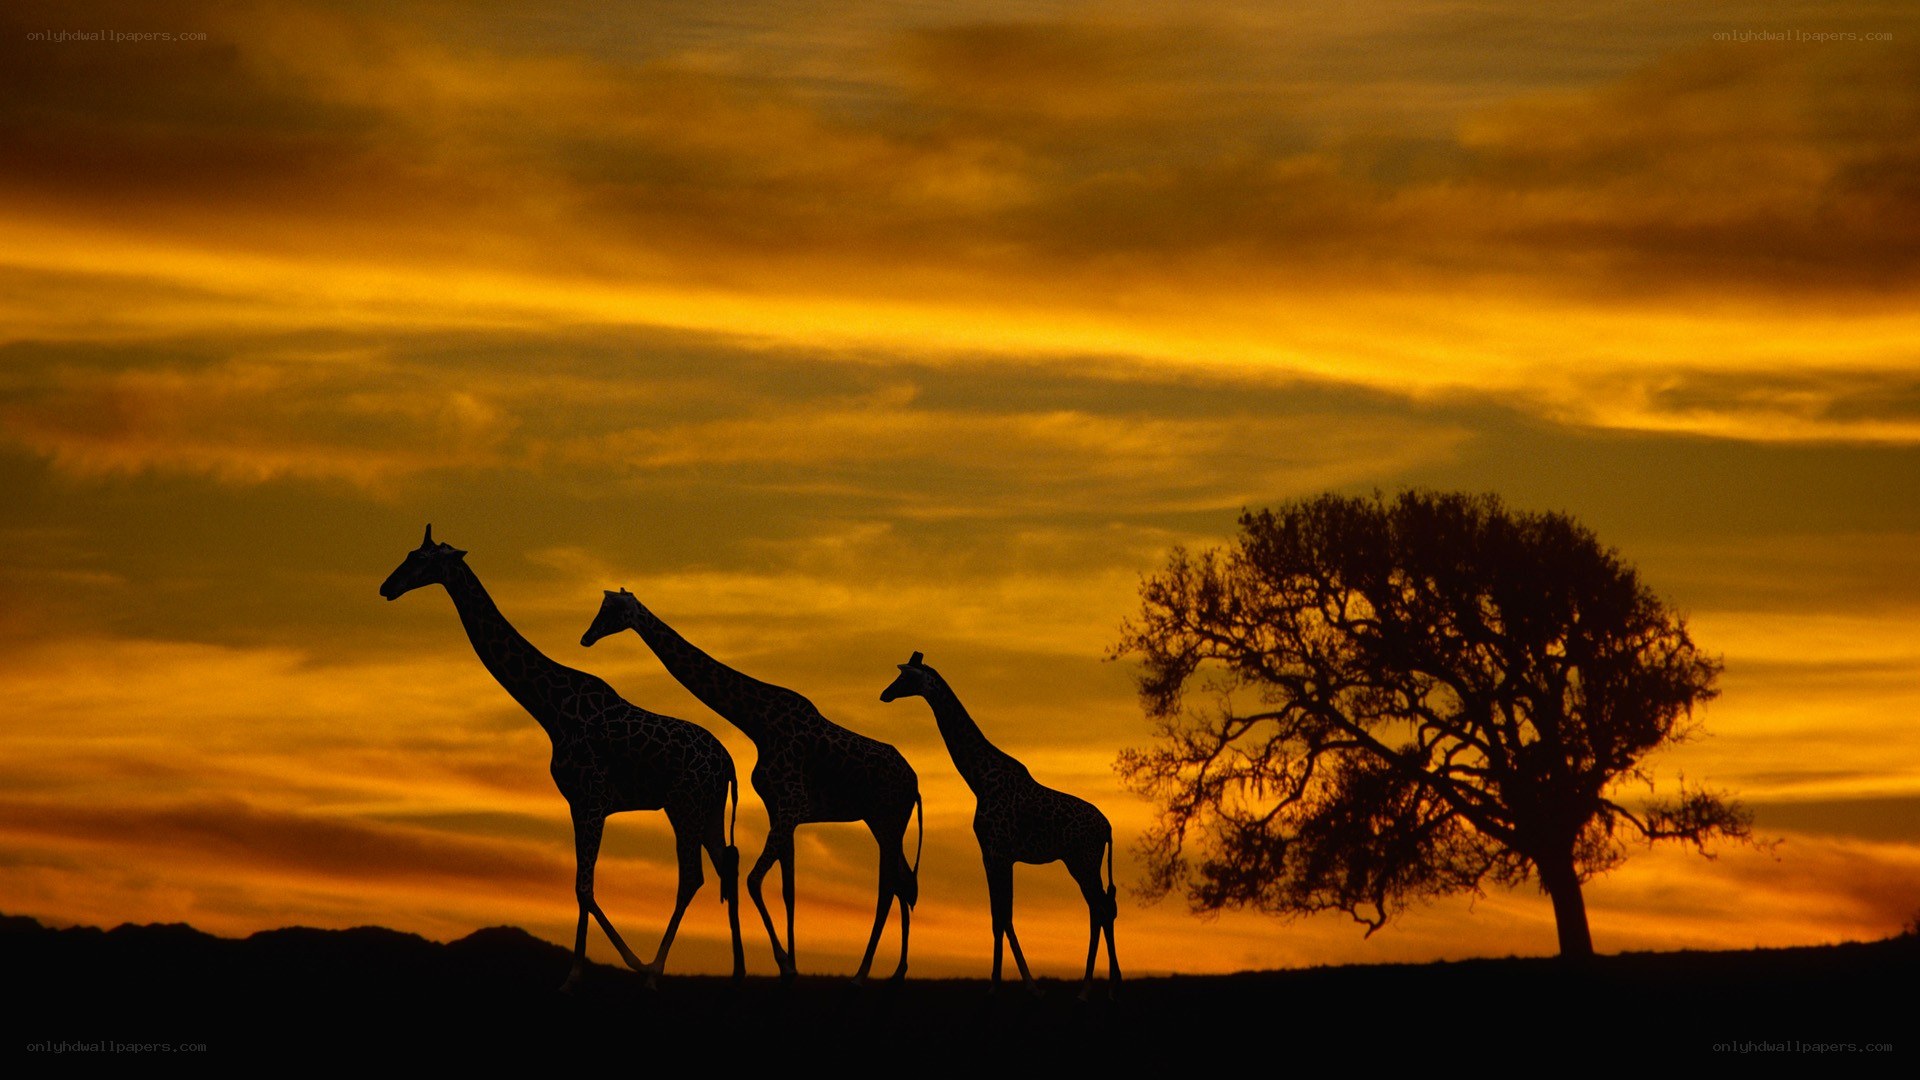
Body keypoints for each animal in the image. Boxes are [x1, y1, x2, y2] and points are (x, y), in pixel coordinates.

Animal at [379, 527, 744, 989]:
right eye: (410, 553)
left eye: (423, 561)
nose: (387, 587)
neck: (551, 709)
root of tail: (728, 763)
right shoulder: (575, 803)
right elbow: (579, 886)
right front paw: (578, 972)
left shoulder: (592, 799)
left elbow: (583, 887)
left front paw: (591, 972)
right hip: (708, 807)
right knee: (726, 867)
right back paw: (737, 973)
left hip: (684, 804)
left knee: (693, 876)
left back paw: (654, 972)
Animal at [582, 589, 922, 984]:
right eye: (601, 607)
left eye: (613, 610)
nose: (586, 637)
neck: (758, 723)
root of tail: (915, 784)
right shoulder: (782, 810)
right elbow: (788, 889)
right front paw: (792, 965)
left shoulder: (790, 806)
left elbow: (755, 881)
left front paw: (785, 963)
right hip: (883, 823)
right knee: (902, 882)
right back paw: (896, 971)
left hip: (888, 820)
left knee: (891, 886)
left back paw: (866, 972)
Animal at [880, 652, 1120, 999]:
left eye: (904, 677)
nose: (885, 694)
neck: (979, 780)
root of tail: (1109, 829)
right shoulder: (992, 854)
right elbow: (999, 916)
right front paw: (1007, 983)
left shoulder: (998, 852)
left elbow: (1003, 916)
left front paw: (1013, 985)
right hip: (1082, 862)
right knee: (1102, 908)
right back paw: (1104, 986)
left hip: (1083, 861)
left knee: (1100, 909)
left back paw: (1092, 988)